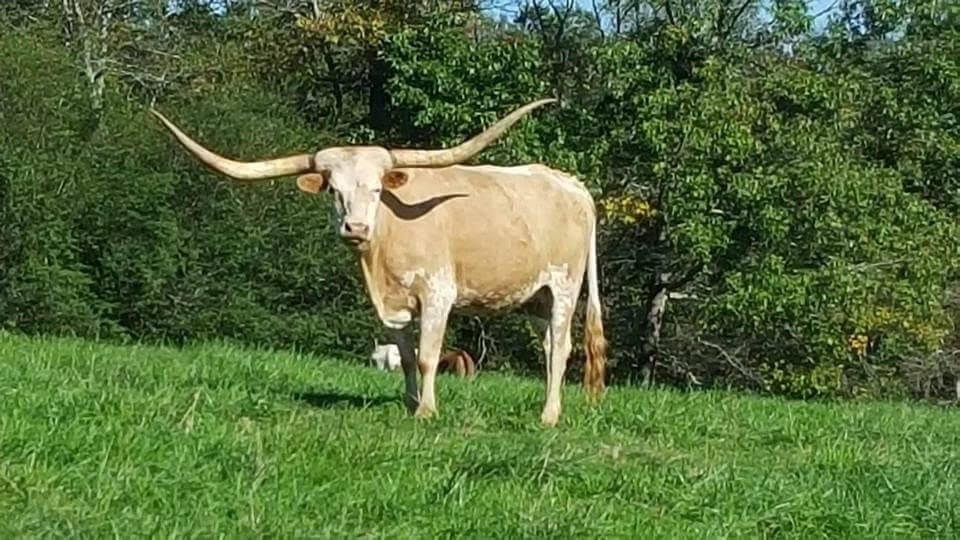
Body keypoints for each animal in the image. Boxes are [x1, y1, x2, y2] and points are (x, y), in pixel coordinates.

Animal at [150, 98, 607, 426]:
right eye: (333, 190)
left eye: (375, 189)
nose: (355, 227)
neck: (385, 247)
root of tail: (572, 184)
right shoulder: (392, 307)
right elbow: (404, 356)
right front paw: (409, 404)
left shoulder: (438, 294)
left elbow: (426, 355)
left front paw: (427, 411)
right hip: (537, 298)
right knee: (549, 347)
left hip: (564, 286)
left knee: (561, 348)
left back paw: (549, 416)